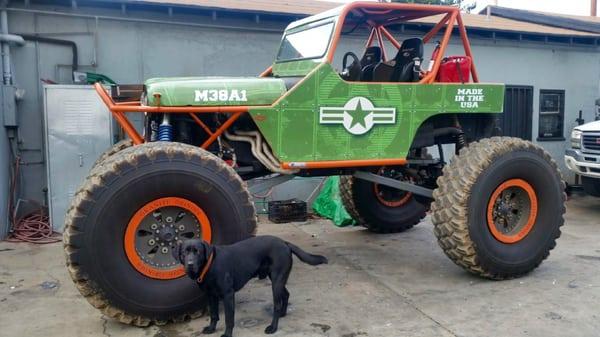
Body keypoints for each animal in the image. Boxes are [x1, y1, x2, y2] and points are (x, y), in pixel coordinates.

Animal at [171, 236, 328, 336]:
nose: (190, 264)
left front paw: (227, 335)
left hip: (276, 281)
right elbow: (214, 315)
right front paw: (211, 329)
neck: (210, 265)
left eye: (197, 251)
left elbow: (229, 319)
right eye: (184, 252)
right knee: (286, 294)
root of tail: (284, 242)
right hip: (278, 280)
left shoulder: (228, 295)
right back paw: (283, 313)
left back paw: (273, 327)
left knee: (277, 304)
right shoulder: (211, 296)